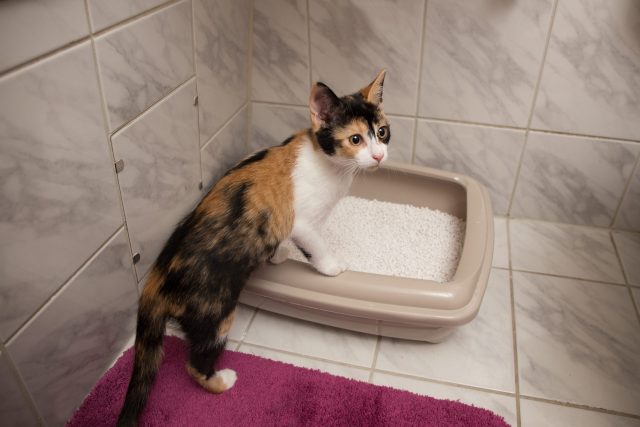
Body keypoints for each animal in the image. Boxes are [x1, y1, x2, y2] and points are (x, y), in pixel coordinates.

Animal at [117, 69, 392, 424]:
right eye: (355, 139)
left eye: (382, 132)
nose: (379, 156)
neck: (327, 163)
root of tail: (156, 277)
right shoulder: (302, 222)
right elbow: (315, 244)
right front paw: (332, 267)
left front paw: (278, 254)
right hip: (213, 314)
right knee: (195, 362)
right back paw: (220, 380)